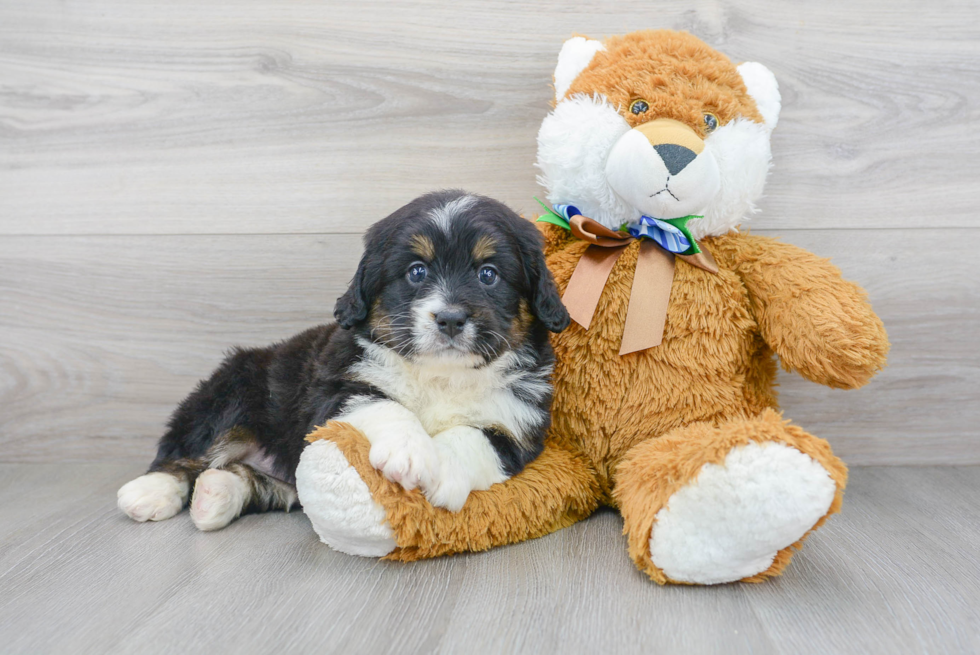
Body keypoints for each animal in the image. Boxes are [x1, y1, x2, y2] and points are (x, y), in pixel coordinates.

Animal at [118, 191, 572, 532]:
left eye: (488, 274)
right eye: (417, 271)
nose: (450, 318)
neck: (440, 376)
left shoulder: (518, 424)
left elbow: (471, 437)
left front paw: (440, 468)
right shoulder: (336, 388)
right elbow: (383, 403)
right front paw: (408, 452)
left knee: (258, 481)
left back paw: (216, 496)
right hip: (230, 392)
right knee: (187, 455)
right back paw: (150, 492)